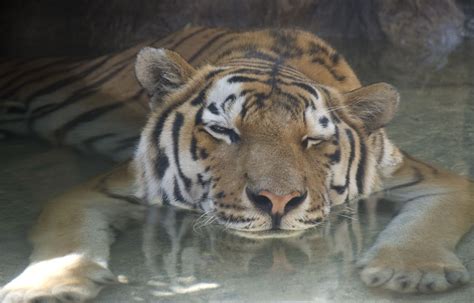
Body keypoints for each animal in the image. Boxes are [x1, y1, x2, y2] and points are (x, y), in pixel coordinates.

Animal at [0, 26, 472, 303]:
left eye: (312, 140)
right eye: (224, 131)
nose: (278, 201)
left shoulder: (430, 178)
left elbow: (429, 220)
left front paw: (412, 271)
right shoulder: (95, 191)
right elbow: (66, 237)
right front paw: (47, 287)